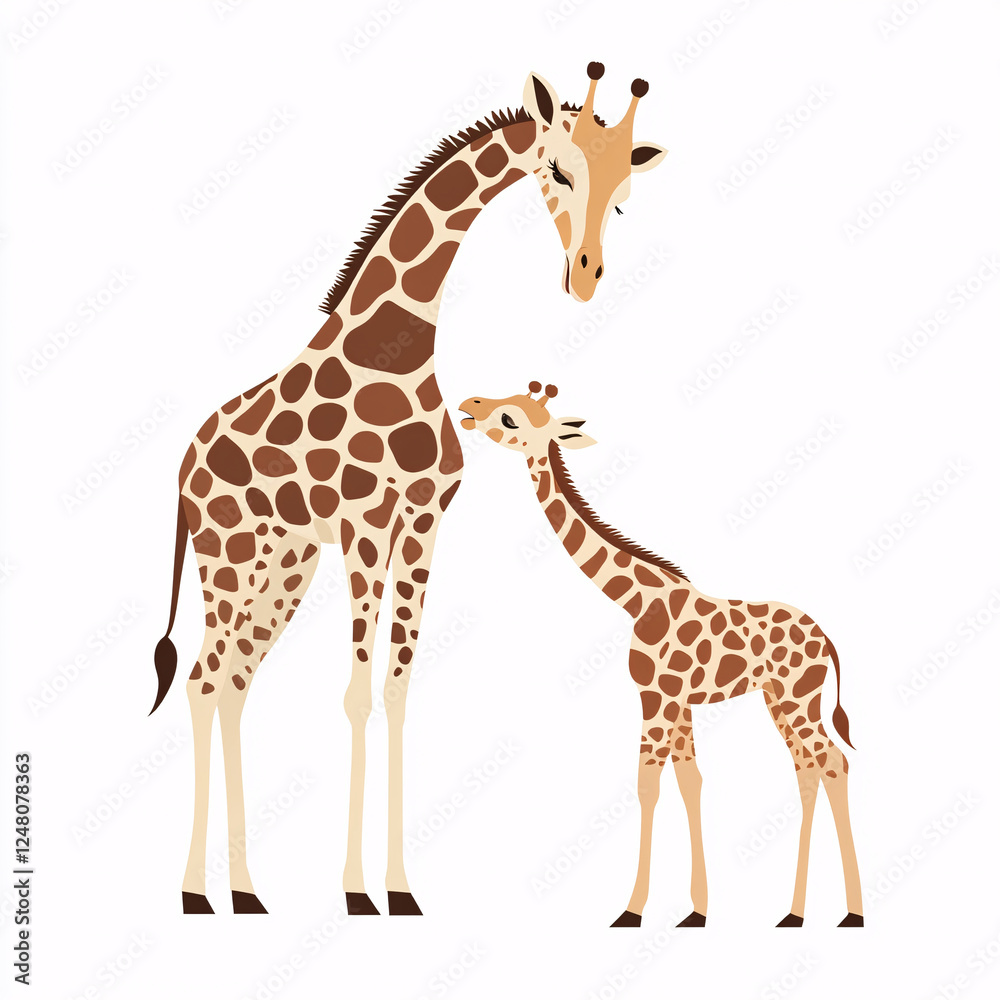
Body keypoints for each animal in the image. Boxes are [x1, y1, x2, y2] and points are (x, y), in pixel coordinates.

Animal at [148, 64, 668, 916]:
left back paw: (249, 892)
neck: (400, 344)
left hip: (284, 566)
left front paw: (400, 889)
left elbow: (396, 689)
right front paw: (357, 892)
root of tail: (184, 473)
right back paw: (195, 893)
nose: (586, 276)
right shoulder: (366, 521)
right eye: (559, 171)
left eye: (623, 193)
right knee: (200, 681)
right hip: (230, 557)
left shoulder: (422, 522)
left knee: (233, 685)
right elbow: (357, 691)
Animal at [458, 384, 864, 929]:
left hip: (798, 698)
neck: (636, 601)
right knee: (808, 769)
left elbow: (646, 784)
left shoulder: (657, 697)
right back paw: (795, 913)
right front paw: (696, 911)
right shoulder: (679, 702)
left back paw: (852, 913)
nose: (468, 407)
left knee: (833, 763)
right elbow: (690, 781)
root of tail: (827, 640)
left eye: (511, 418)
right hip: (780, 698)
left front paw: (632, 910)